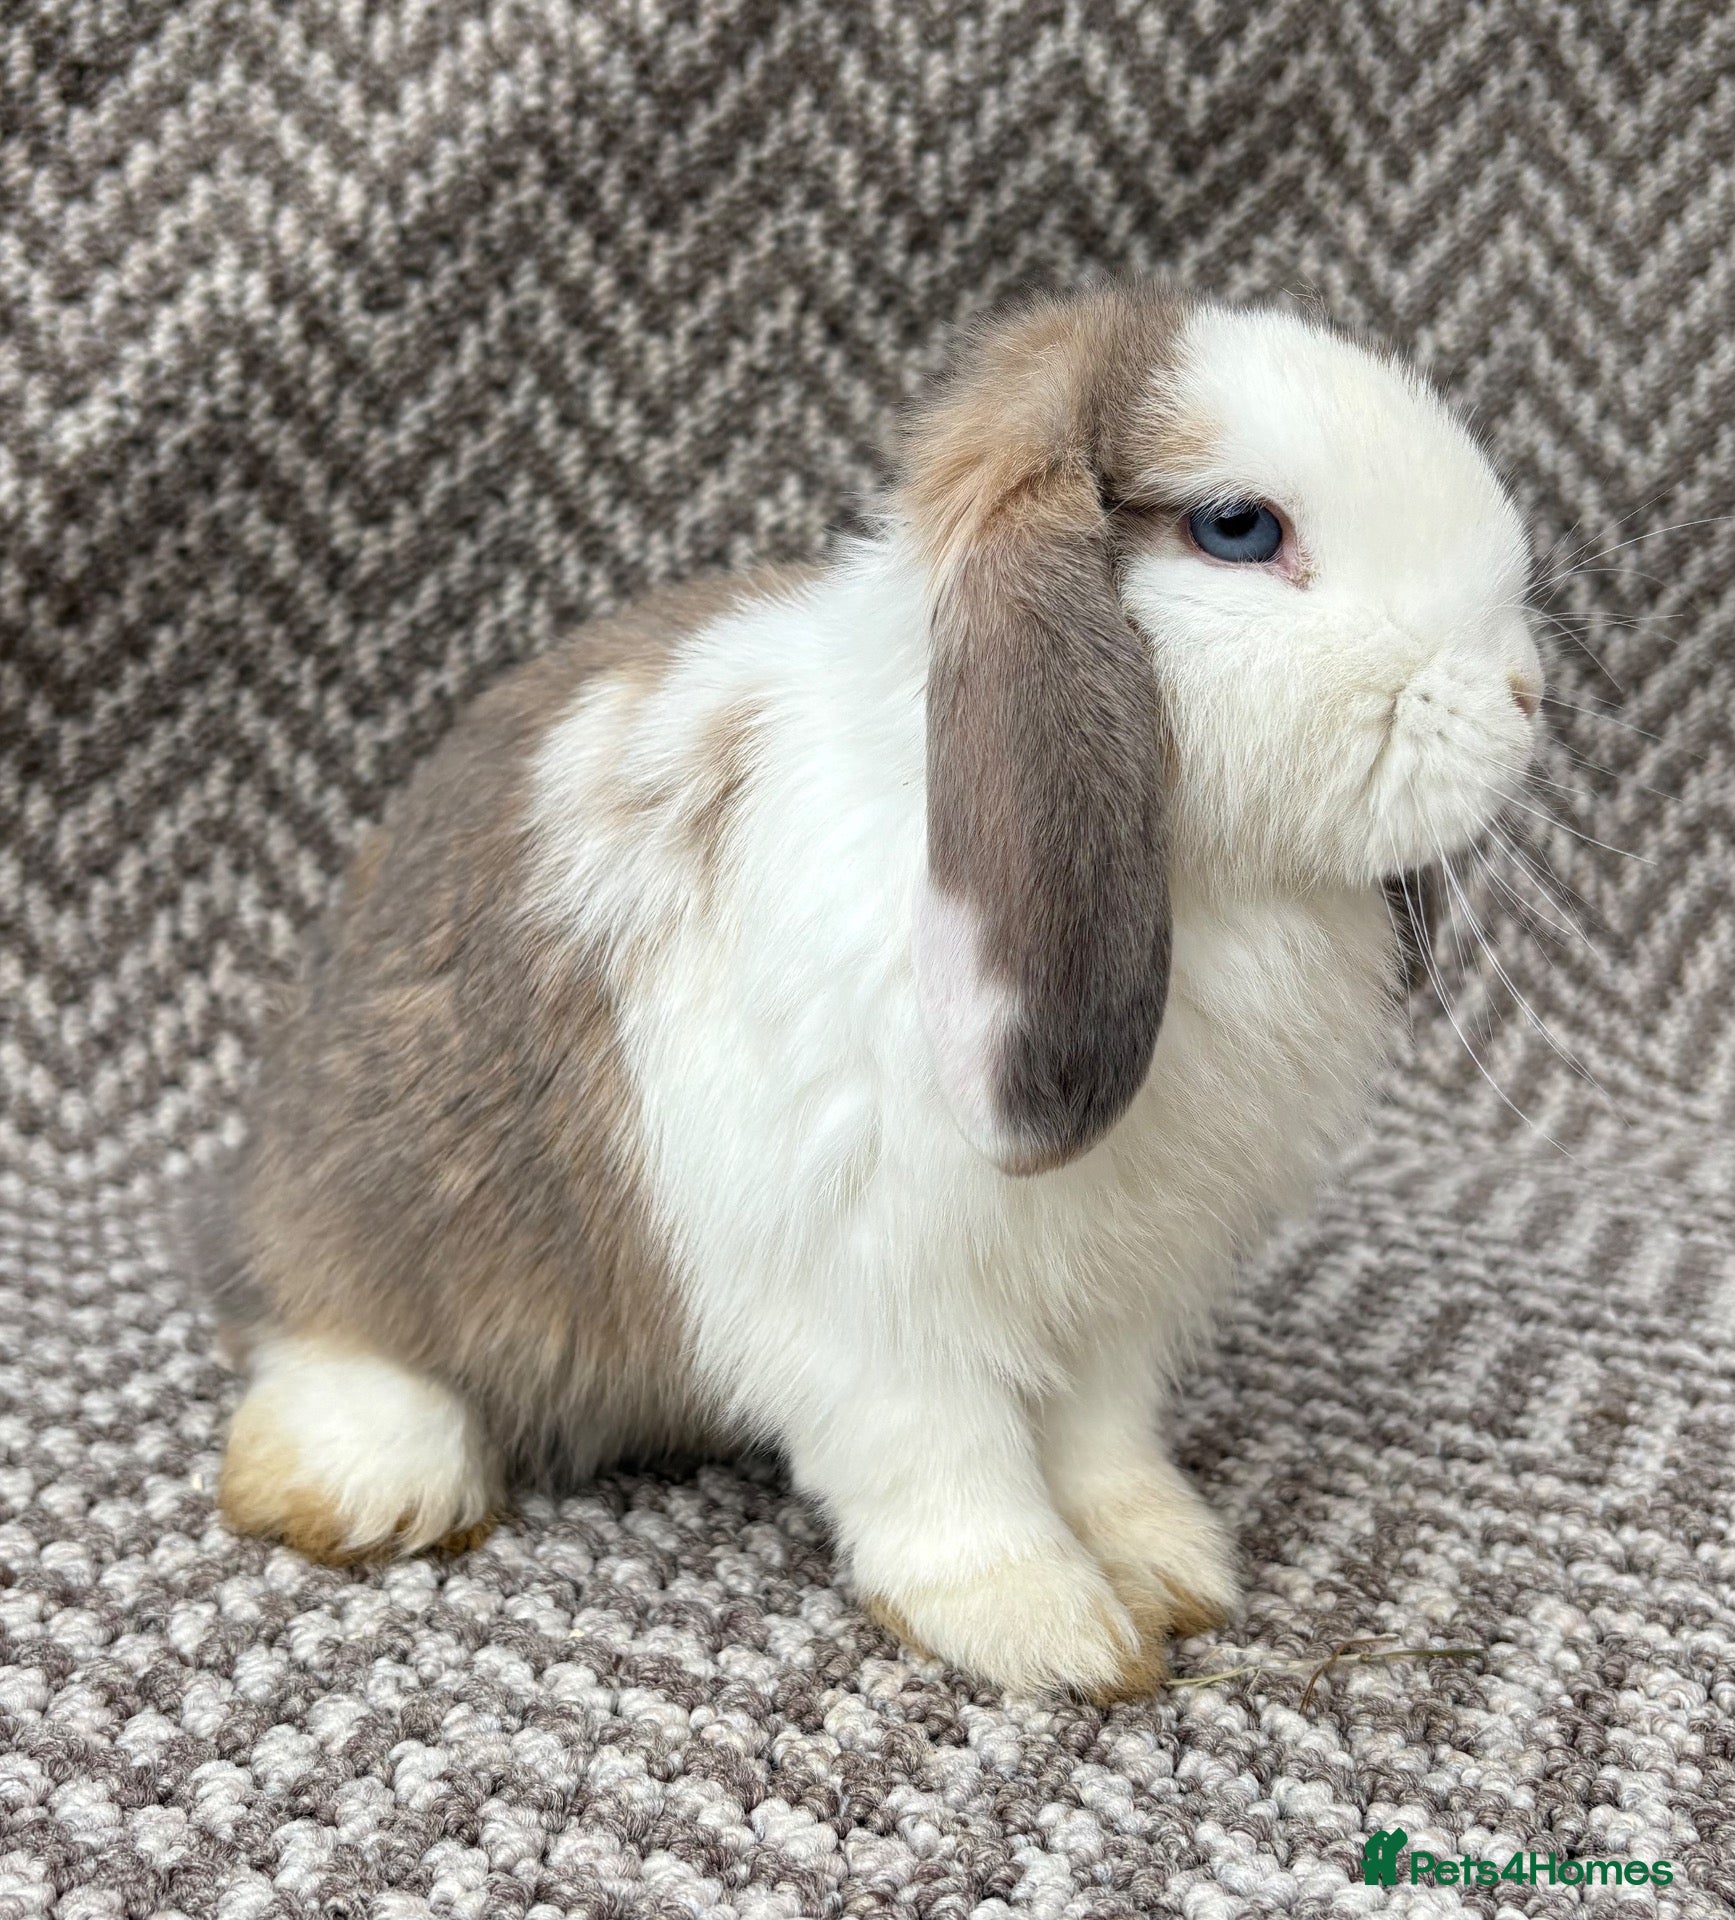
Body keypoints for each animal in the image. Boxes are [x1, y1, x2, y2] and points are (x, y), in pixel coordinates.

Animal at [195, 281, 1543, 1700]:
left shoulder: (1115, 1298)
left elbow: (1102, 1442)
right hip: (372, 1204)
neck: (1199, 886)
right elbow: (945, 1469)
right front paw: (1049, 1630)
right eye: (1239, 528)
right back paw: (365, 1482)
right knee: (322, 1322)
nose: (1524, 695)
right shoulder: (867, 1296)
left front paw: (1169, 1568)